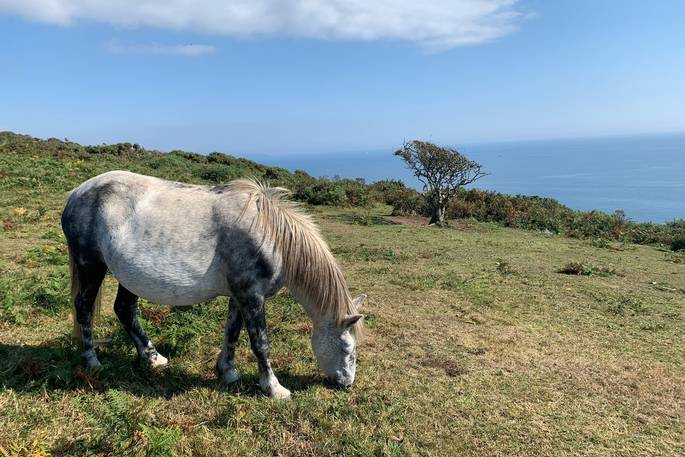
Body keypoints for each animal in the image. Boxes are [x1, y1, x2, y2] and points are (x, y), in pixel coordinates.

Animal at [61, 170, 365, 399]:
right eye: (346, 348)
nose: (347, 383)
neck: (271, 234)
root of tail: (75, 194)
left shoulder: (239, 296)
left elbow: (232, 332)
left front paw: (227, 371)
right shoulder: (252, 296)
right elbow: (260, 343)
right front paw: (274, 388)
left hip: (129, 277)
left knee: (125, 309)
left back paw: (152, 357)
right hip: (91, 267)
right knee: (84, 307)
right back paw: (92, 360)